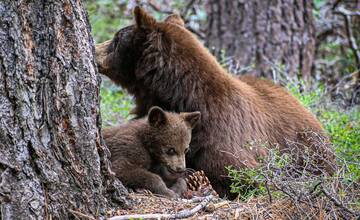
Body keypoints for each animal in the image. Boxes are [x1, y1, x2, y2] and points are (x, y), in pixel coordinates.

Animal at [95, 7, 334, 198]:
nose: (95, 49)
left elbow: (240, 174)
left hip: (309, 151)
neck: (183, 96)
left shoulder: (222, 137)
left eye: (116, 39)